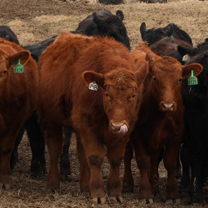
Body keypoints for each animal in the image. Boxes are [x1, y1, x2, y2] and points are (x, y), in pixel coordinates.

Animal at [37, 31, 148, 204]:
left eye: (133, 95)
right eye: (107, 94)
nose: (117, 126)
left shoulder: (127, 128)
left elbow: (115, 158)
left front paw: (114, 192)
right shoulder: (87, 125)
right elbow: (95, 157)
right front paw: (97, 192)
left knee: (82, 154)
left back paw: (84, 188)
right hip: (52, 118)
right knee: (55, 148)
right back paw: (53, 185)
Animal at [122, 41, 202, 203]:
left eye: (179, 80)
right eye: (155, 79)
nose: (168, 105)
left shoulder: (175, 135)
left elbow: (169, 163)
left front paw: (172, 193)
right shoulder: (137, 135)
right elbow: (142, 161)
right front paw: (145, 192)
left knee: (154, 158)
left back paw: (155, 186)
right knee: (128, 155)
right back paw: (128, 184)